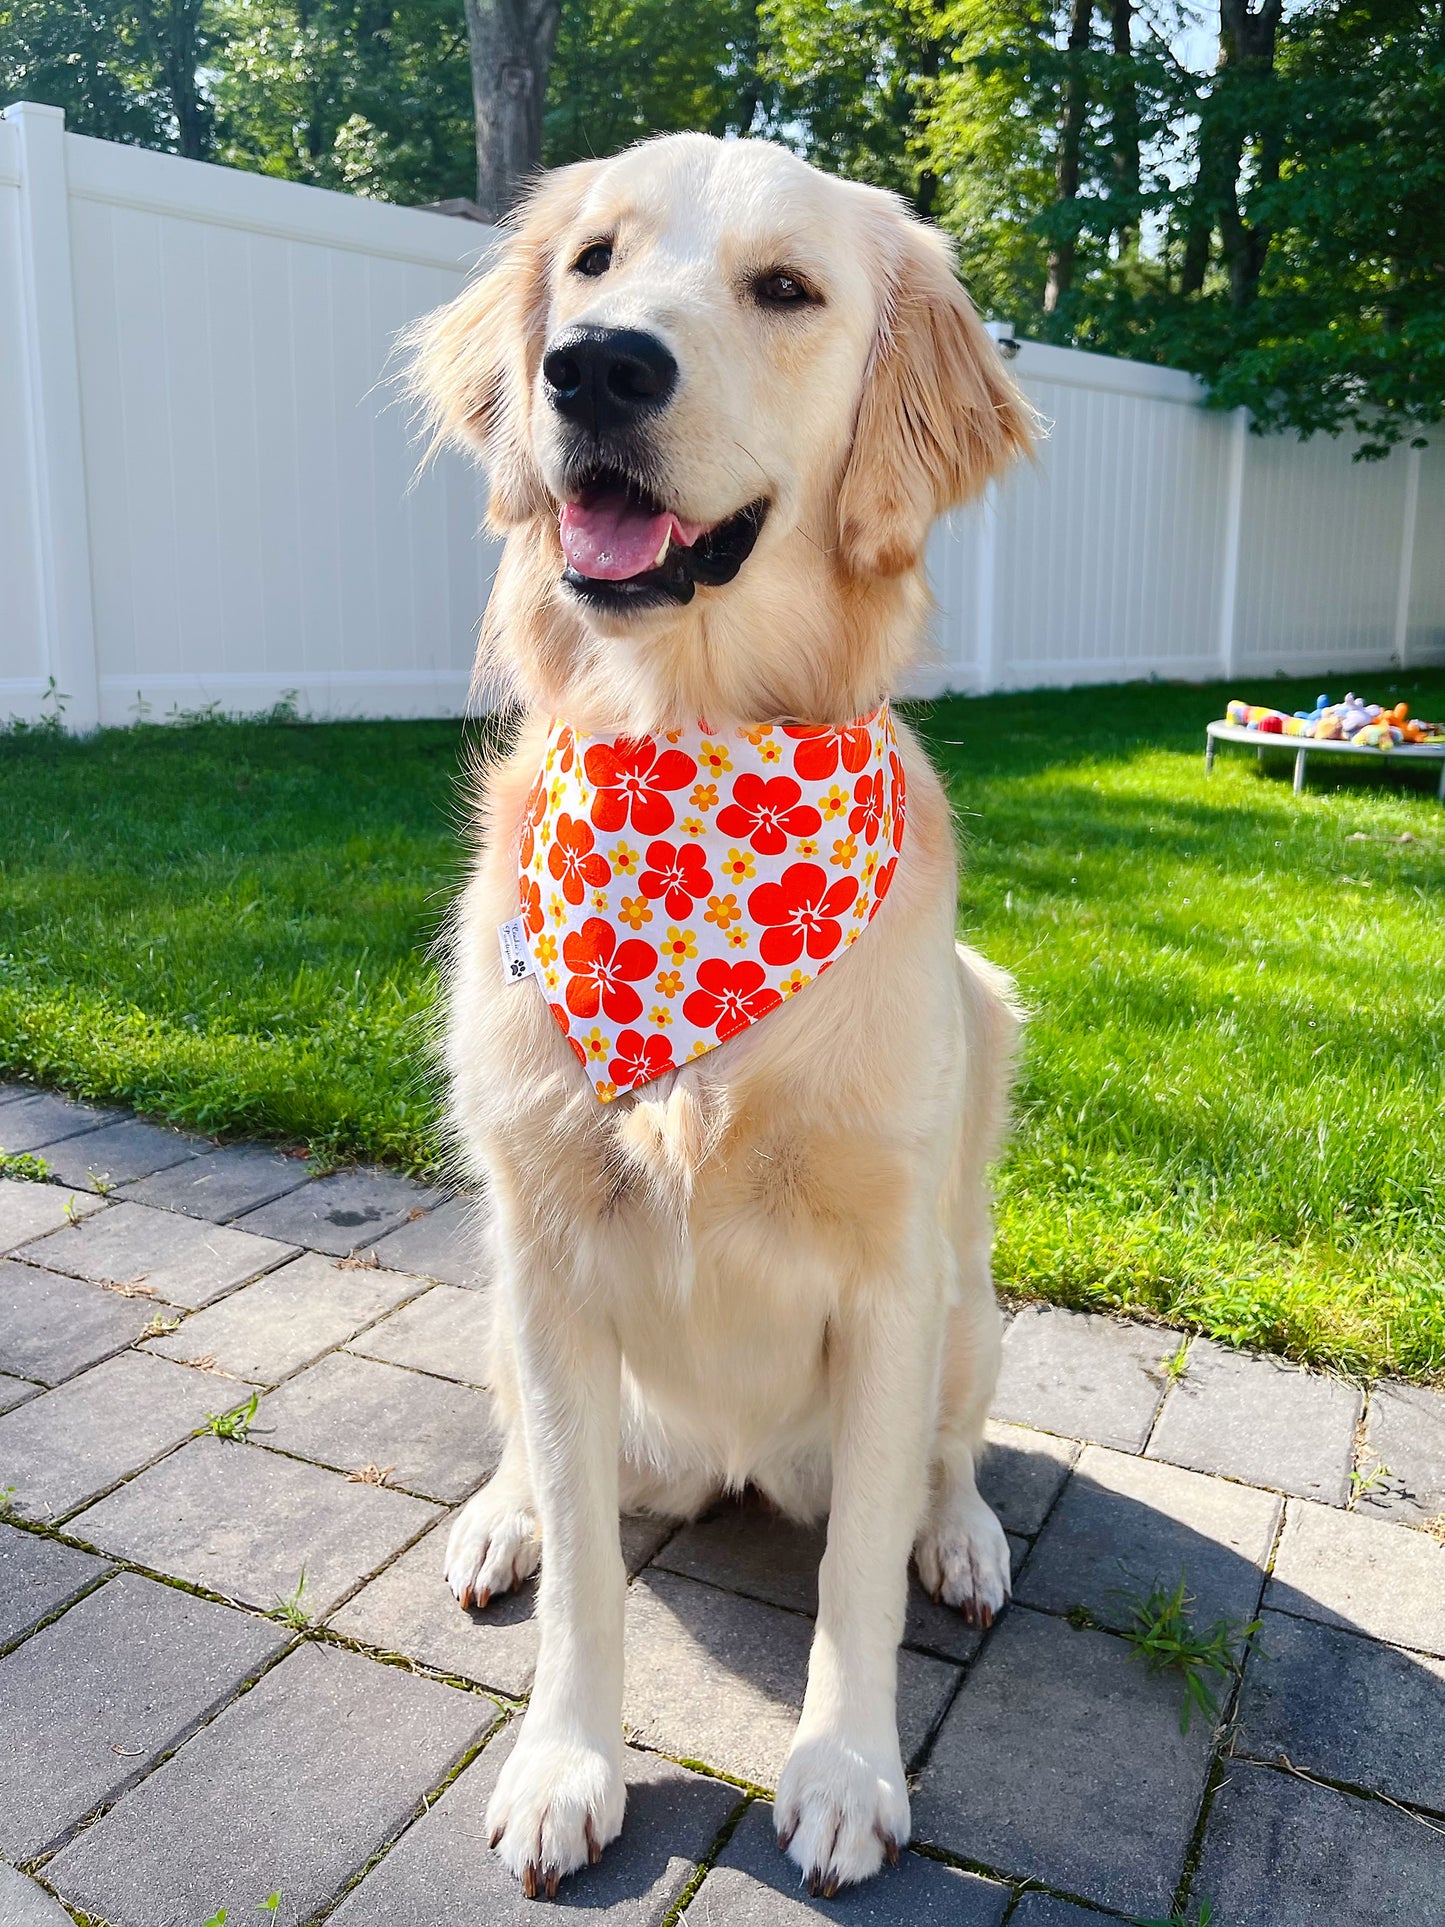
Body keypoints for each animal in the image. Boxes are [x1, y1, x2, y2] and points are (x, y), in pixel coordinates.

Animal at [412, 131, 1032, 1896]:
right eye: (594, 262)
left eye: (787, 289)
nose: (596, 367)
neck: (688, 753)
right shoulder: (549, 1250)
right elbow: (586, 1579)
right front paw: (564, 1760)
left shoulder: (891, 1285)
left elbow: (859, 1579)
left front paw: (842, 1768)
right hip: (502, 1291)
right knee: (539, 1463)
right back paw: (501, 1514)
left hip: (971, 1301)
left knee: (946, 1462)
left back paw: (966, 1532)